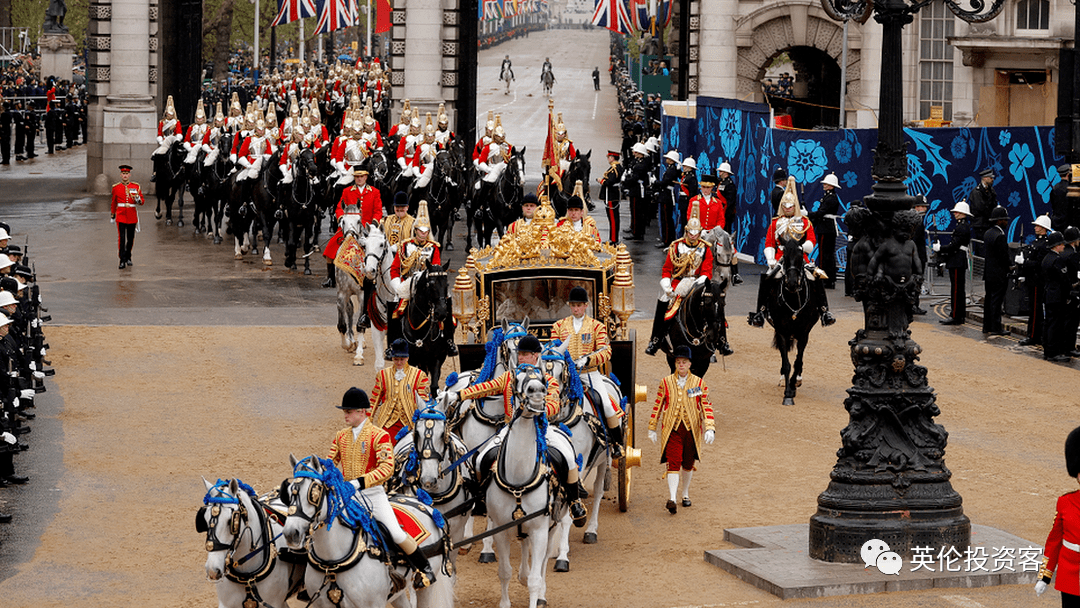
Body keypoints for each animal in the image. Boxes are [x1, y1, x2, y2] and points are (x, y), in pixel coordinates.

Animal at [280, 457, 453, 608]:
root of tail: (428, 507)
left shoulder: (372, 604)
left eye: (314, 492)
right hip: (398, 592)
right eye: (288, 492)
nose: (291, 534)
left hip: (426, 588)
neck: (332, 563)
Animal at [406, 259, 455, 388]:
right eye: (431, 284)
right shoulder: (412, 359)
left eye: (447, 285)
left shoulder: (436, 358)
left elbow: (434, 385)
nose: (442, 312)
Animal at [764, 235, 829, 406]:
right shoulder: (782, 331)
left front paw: (793, 384)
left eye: (800, 257)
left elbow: (798, 360)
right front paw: (787, 393)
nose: (792, 283)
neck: (793, 299)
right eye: (785, 257)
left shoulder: (804, 332)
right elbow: (786, 363)